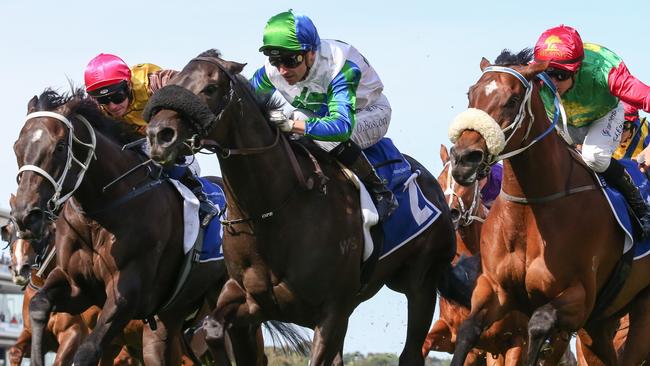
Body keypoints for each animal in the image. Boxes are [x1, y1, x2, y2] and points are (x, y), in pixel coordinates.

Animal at [142, 50, 468, 364]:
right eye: (176, 81)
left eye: (210, 88)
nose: (158, 135)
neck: (274, 212)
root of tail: (432, 182)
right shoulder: (247, 299)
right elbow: (213, 329)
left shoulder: (331, 311)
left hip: (421, 283)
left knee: (410, 352)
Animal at [448, 49, 648, 366]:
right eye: (471, 94)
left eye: (512, 100)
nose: (464, 159)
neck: (532, 207)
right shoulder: (495, 289)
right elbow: (469, 330)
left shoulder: (580, 297)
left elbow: (539, 325)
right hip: (598, 325)